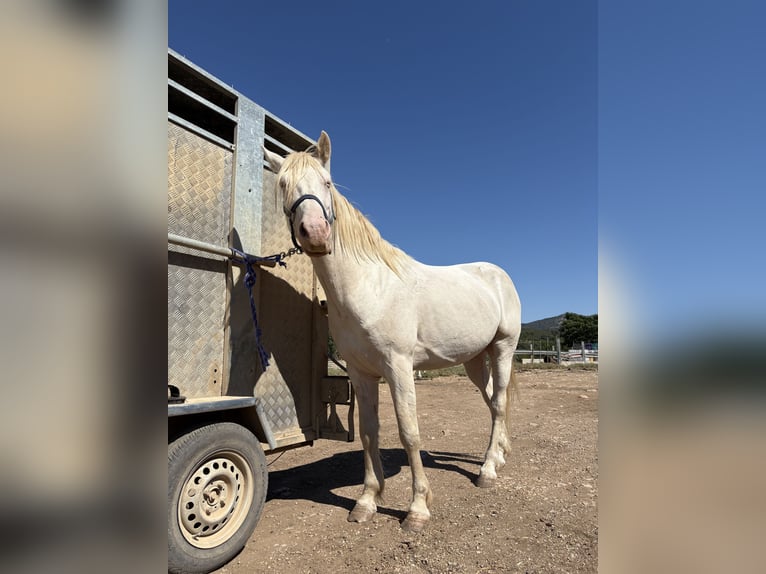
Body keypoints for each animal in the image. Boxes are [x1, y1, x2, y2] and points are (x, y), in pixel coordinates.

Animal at [263, 132, 521, 532]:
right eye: (283, 186)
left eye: (327, 183)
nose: (316, 234)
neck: (370, 286)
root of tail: (498, 274)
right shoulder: (362, 373)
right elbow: (369, 433)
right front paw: (367, 501)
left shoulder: (399, 368)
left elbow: (409, 432)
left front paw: (417, 508)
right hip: (476, 360)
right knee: (495, 399)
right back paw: (498, 456)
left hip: (504, 348)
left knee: (499, 402)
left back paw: (488, 470)